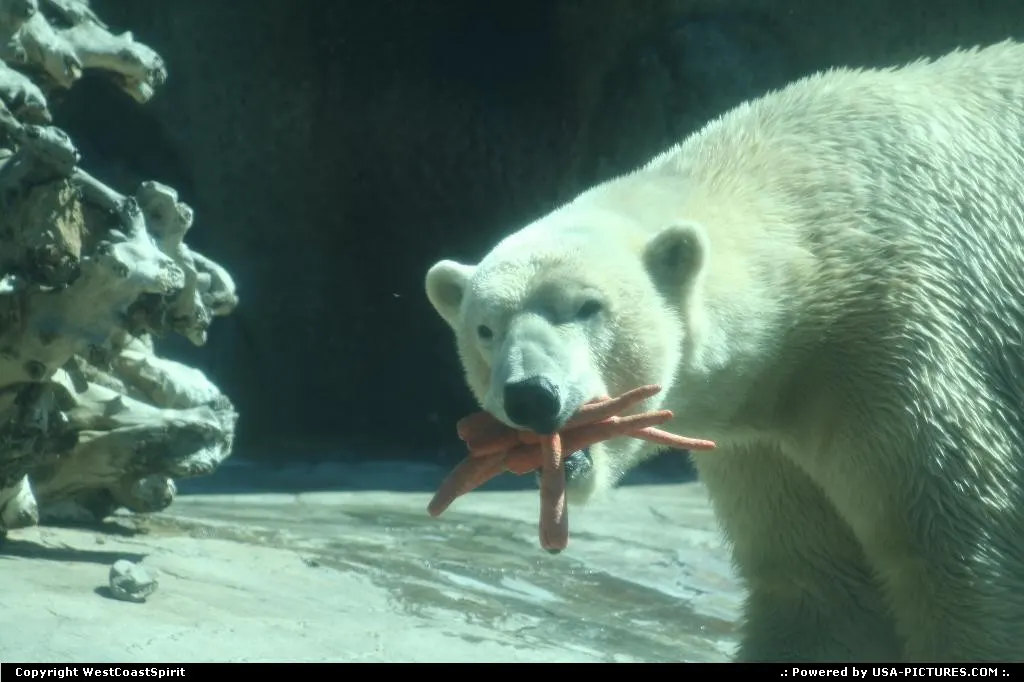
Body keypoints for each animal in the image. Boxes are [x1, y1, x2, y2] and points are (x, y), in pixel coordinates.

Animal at [424, 40, 1024, 662]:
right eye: (486, 329)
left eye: (588, 306)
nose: (531, 396)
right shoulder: (768, 436)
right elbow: (821, 587)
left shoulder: (899, 349)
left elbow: (961, 559)